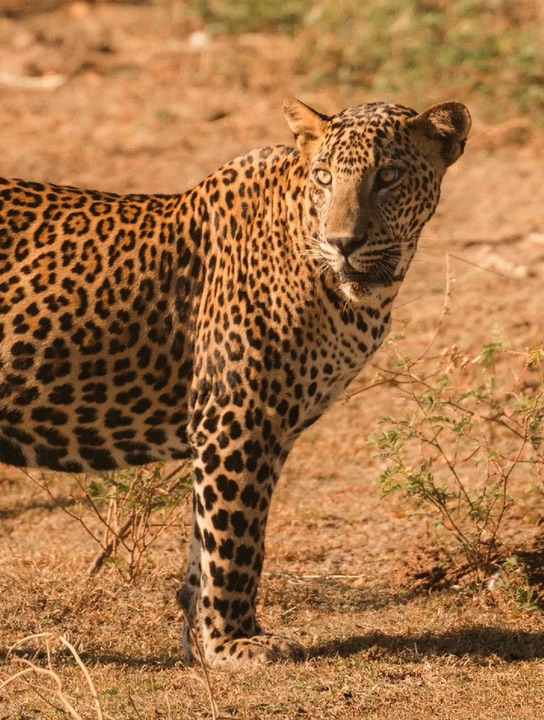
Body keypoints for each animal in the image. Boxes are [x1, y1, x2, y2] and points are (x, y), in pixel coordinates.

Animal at [0, 97, 470, 668]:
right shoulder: (236, 418)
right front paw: (235, 643)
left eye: (389, 176)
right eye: (324, 177)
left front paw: (202, 642)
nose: (344, 243)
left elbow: (209, 544)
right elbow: (235, 541)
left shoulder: (268, 431)